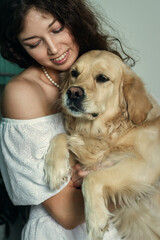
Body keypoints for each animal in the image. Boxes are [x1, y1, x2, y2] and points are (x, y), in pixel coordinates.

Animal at [44, 49, 160, 239]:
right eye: (74, 73)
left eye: (102, 78)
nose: (73, 92)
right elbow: (61, 136)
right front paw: (55, 169)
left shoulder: (147, 164)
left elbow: (92, 178)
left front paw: (95, 219)